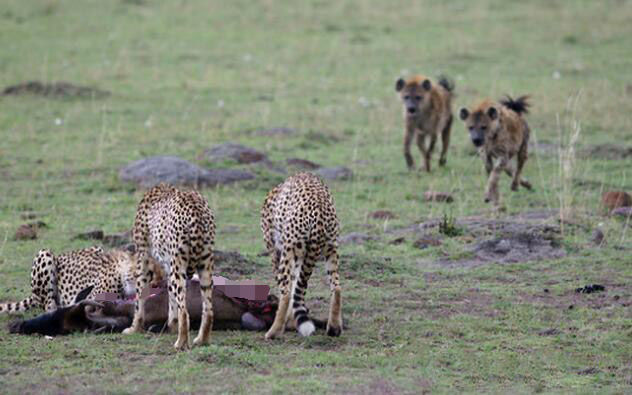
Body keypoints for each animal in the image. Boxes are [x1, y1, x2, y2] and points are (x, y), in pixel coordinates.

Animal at [123, 184, 217, 352]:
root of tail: (196, 208)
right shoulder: (168, 266)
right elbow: (171, 299)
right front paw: (172, 325)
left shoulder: (143, 258)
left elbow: (139, 298)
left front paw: (134, 328)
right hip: (205, 266)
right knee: (208, 309)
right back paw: (202, 340)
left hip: (179, 267)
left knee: (184, 311)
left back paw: (181, 343)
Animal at [260, 173, 344, 340]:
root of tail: (319, 209)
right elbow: (297, 289)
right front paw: (294, 320)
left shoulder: (275, 251)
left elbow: (291, 289)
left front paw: (289, 322)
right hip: (330, 250)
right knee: (336, 287)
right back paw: (334, 327)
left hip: (288, 251)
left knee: (286, 293)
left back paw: (273, 332)